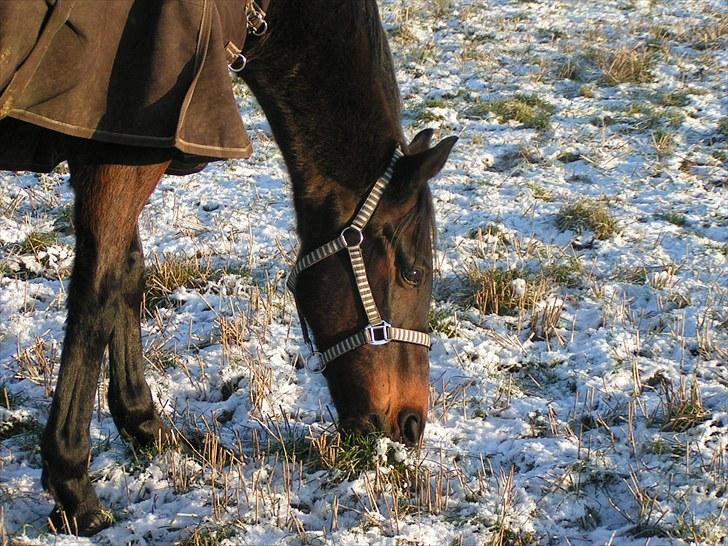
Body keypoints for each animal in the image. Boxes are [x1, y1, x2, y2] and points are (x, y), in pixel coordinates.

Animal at [0, 0, 456, 536]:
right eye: (412, 272)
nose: (412, 424)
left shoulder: (121, 144)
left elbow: (129, 274)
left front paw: (145, 425)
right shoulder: (123, 152)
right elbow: (99, 292)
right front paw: (73, 485)